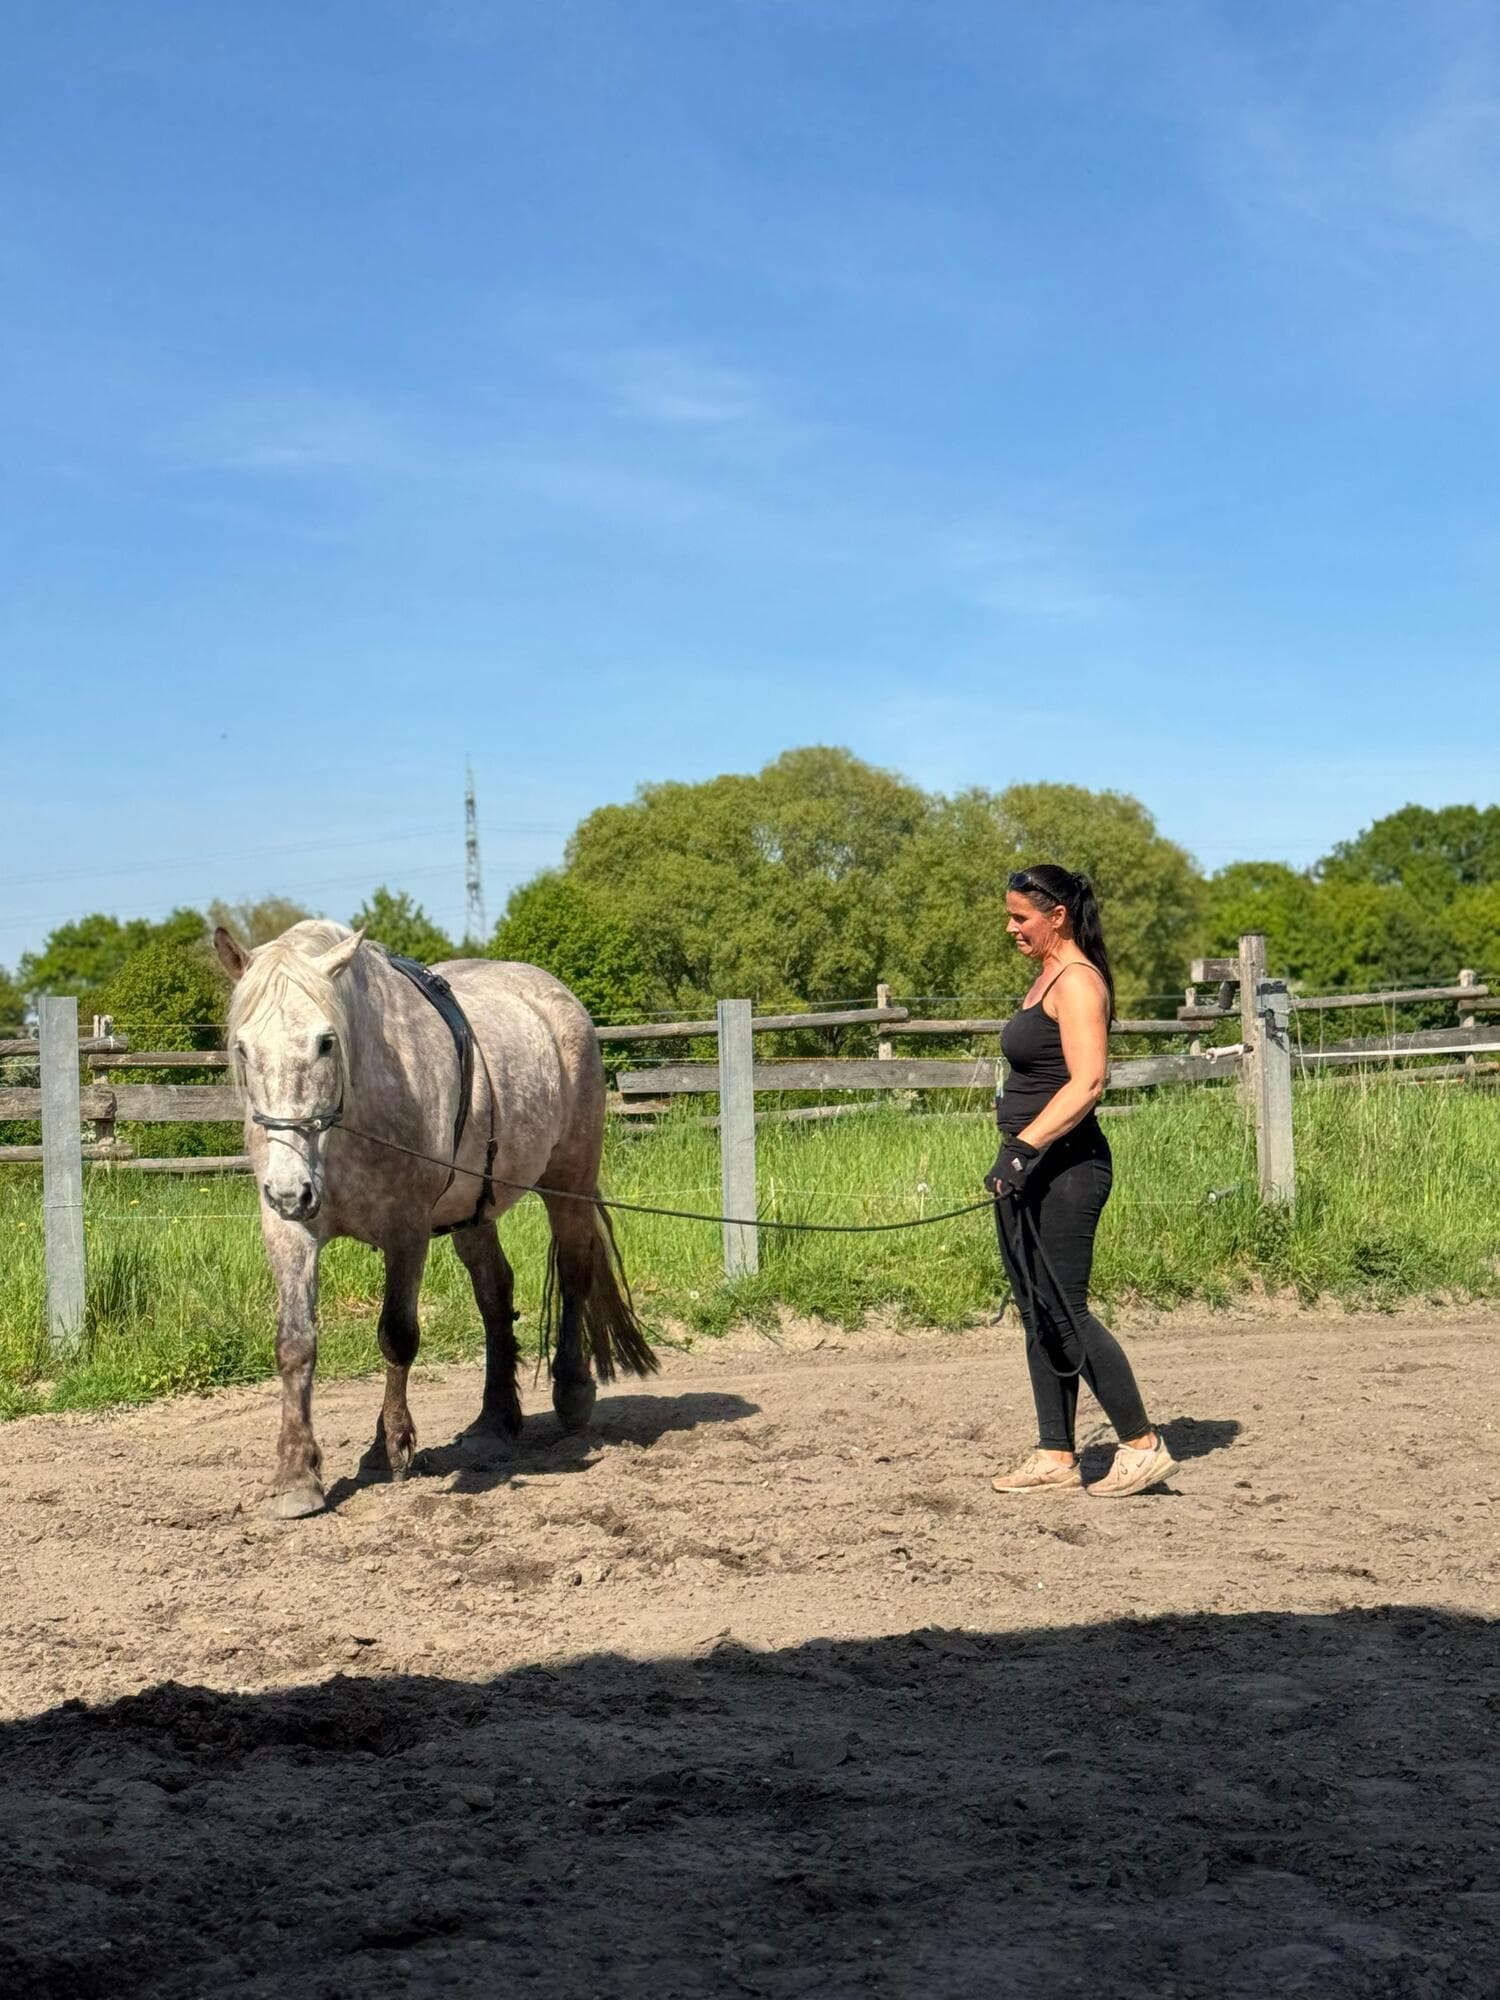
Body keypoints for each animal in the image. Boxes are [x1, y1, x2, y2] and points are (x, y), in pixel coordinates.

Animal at [214, 920, 656, 1518]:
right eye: (243, 1047)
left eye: (326, 1042)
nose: (289, 1189)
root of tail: (558, 999)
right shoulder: (289, 1229)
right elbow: (295, 1344)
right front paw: (295, 1477)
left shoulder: (407, 1230)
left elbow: (397, 1336)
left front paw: (390, 1447)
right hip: (476, 1212)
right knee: (495, 1294)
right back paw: (494, 1420)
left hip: (568, 1183)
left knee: (573, 1275)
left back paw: (571, 1393)